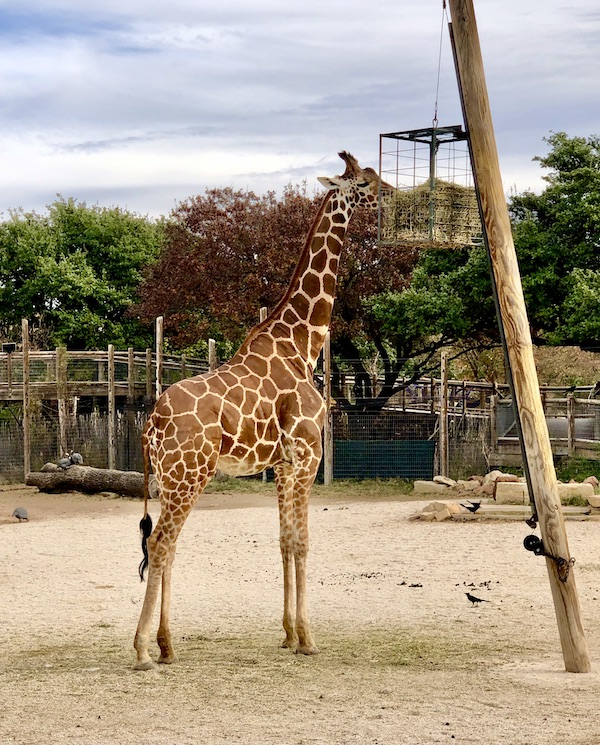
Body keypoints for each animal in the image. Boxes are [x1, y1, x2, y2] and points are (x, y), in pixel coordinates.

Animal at [133, 151, 391, 670]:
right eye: (365, 182)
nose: (393, 194)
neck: (303, 344)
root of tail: (151, 424)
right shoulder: (308, 456)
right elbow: (304, 542)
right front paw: (308, 637)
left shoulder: (285, 463)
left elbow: (284, 541)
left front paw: (289, 634)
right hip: (191, 475)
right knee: (161, 542)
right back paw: (143, 649)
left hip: (169, 480)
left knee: (167, 546)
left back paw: (167, 645)